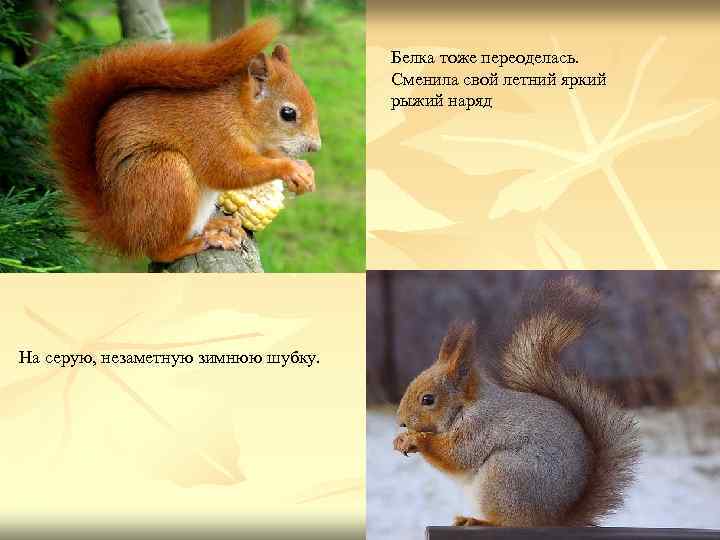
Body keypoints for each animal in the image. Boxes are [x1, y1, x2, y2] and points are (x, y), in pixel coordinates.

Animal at [49, 19, 321, 263]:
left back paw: (216, 226)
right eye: (288, 113)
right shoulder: (211, 134)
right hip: (165, 175)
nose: (315, 147)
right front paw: (290, 167)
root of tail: (120, 228)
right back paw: (199, 243)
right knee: (160, 251)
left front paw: (305, 172)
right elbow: (229, 170)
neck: (238, 109)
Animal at [393, 278, 640, 527]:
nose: (401, 422)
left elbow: (457, 455)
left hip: (504, 476)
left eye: (428, 399)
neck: (466, 406)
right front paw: (401, 439)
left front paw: (415, 439)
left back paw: (477, 521)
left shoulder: (479, 427)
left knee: (509, 522)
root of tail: (555, 519)